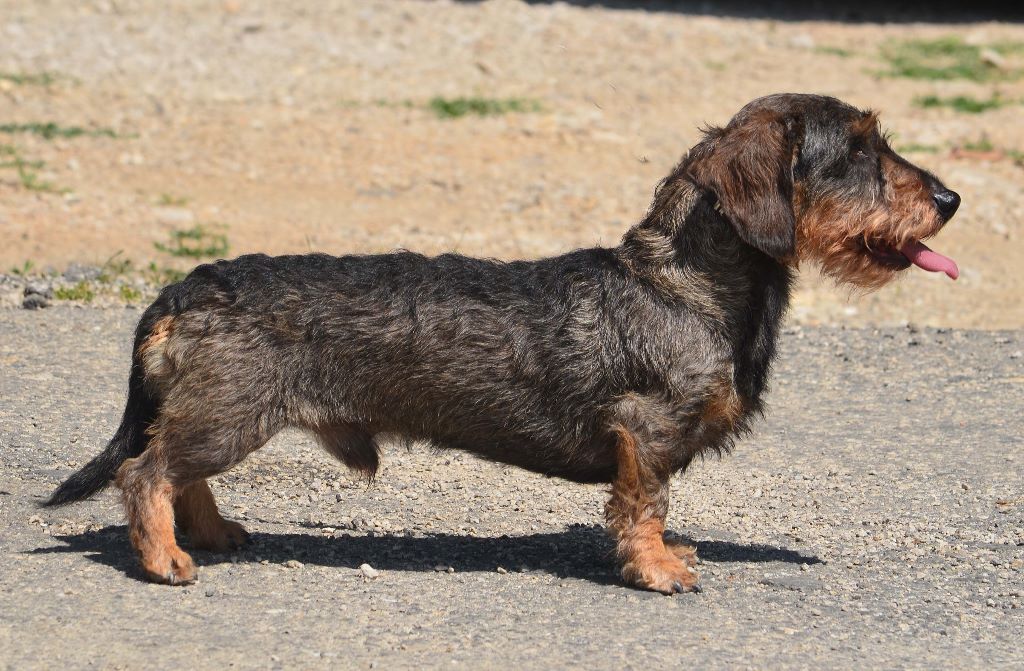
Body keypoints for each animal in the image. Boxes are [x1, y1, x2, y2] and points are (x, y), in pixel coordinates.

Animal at [46, 94, 958, 594]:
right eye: (860, 150)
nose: (950, 199)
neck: (684, 284)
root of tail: (186, 284)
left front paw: (667, 552)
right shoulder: (647, 432)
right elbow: (645, 505)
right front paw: (656, 566)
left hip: (222, 416)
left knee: (177, 472)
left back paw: (208, 532)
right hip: (231, 414)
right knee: (146, 471)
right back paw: (164, 557)